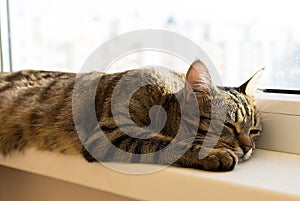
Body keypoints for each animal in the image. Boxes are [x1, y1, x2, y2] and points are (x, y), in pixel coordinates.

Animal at [0, 60, 262, 171]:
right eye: (228, 126)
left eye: (254, 131)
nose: (248, 148)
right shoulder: (106, 134)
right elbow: (167, 144)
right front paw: (213, 153)